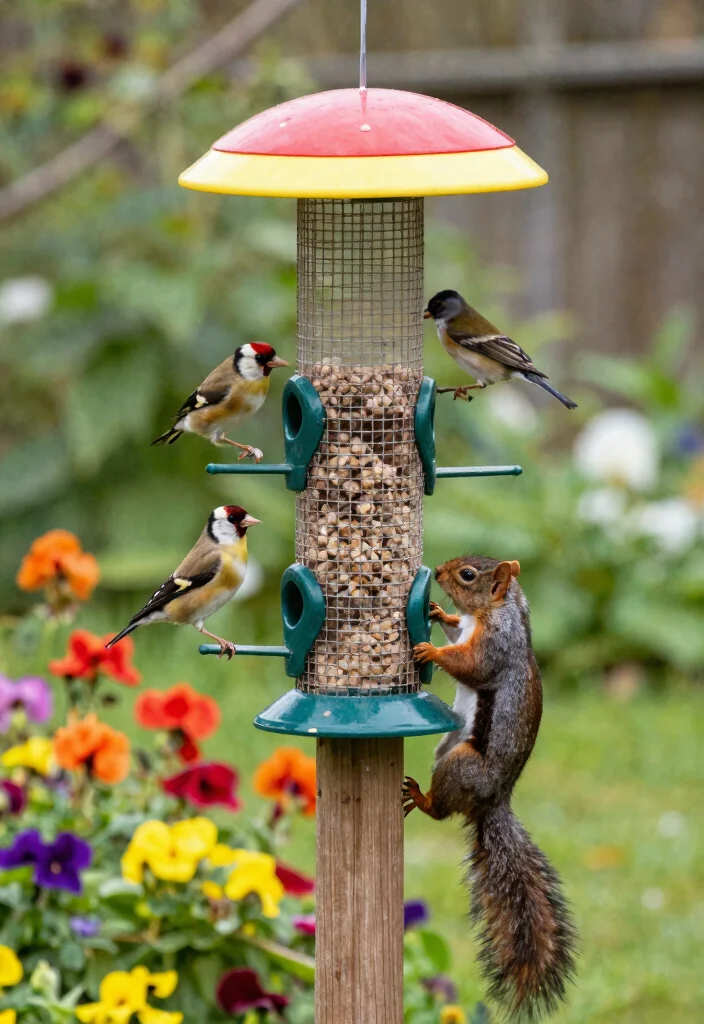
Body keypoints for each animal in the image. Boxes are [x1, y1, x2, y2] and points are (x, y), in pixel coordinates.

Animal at [404, 555, 577, 1022]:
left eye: (467, 575)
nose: (438, 575)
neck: (494, 612)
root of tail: (492, 803)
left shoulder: (496, 647)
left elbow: (470, 665)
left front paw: (430, 650)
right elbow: (456, 634)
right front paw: (439, 614)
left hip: (461, 763)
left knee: (441, 811)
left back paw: (421, 797)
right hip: (445, 749)